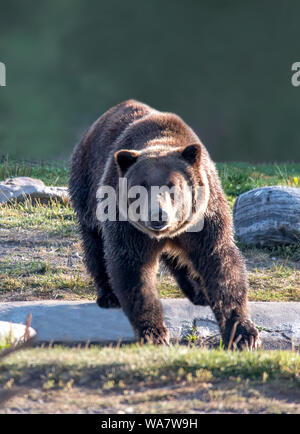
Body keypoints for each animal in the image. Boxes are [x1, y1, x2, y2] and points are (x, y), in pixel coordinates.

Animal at [69, 99, 258, 350]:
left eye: (172, 186)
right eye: (141, 188)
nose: (158, 215)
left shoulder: (206, 218)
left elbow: (221, 265)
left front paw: (244, 334)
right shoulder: (128, 226)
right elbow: (133, 269)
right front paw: (154, 332)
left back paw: (199, 291)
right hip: (88, 188)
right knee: (95, 245)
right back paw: (108, 296)